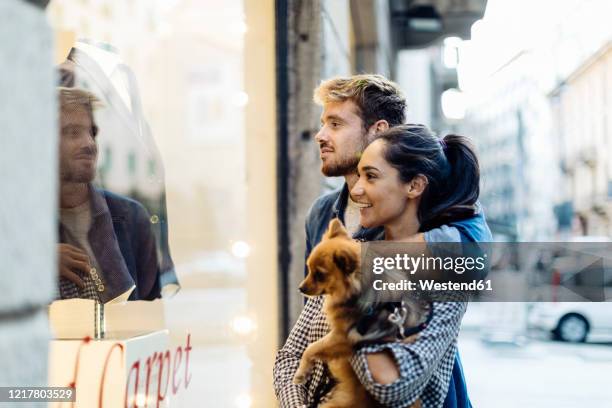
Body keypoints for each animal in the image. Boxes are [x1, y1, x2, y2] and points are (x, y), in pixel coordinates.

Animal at [292, 220, 420, 408]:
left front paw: (301, 373)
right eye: (308, 269)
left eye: (320, 275)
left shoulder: (341, 336)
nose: (300, 288)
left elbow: (311, 348)